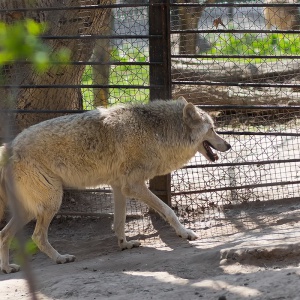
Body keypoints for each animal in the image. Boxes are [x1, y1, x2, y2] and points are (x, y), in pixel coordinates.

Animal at [0, 97, 232, 274]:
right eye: (212, 129)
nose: (229, 145)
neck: (157, 132)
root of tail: (8, 148)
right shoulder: (134, 186)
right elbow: (168, 210)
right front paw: (185, 233)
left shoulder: (119, 188)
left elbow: (119, 222)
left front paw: (124, 244)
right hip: (51, 203)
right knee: (37, 236)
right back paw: (60, 258)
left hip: (29, 211)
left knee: (3, 234)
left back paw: (8, 268)